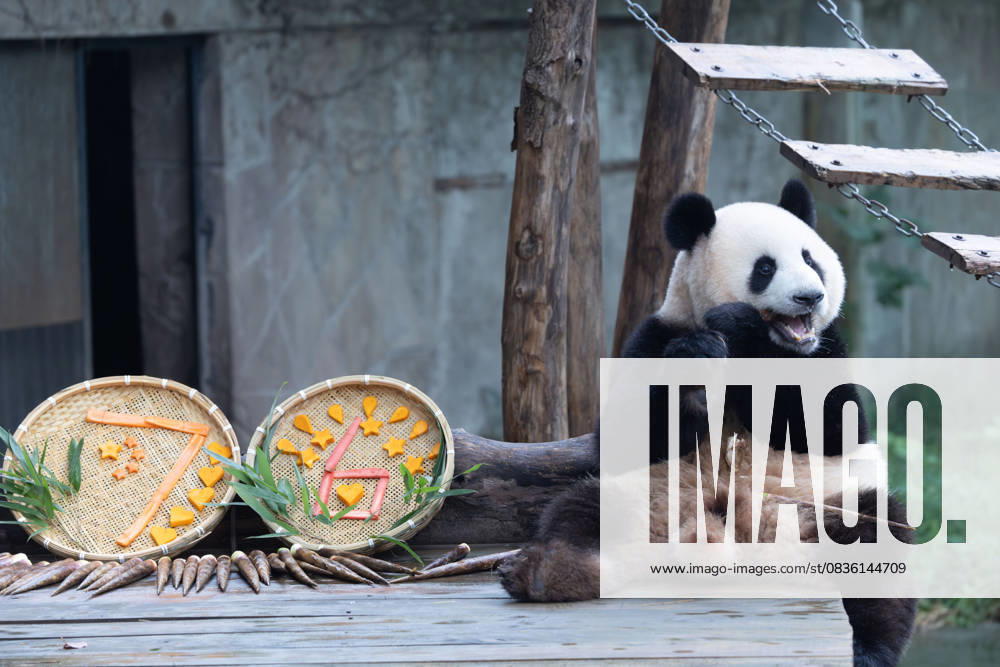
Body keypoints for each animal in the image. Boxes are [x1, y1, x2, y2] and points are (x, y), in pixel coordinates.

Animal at [498, 181, 917, 667]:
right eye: (766, 267)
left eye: (810, 258)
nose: (810, 297)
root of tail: (739, 541)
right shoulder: (656, 334)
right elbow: (626, 436)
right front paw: (697, 362)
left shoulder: (826, 348)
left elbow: (832, 430)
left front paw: (739, 325)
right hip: (650, 501)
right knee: (581, 513)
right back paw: (545, 574)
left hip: (816, 507)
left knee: (877, 539)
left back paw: (870, 648)